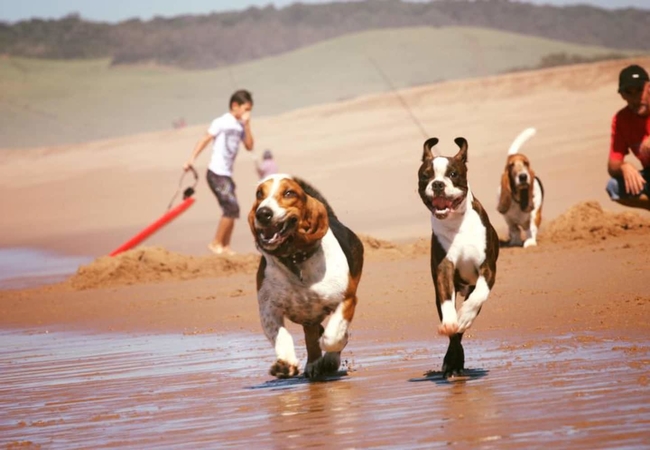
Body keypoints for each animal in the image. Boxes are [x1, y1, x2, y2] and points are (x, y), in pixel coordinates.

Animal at [247, 174, 362, 378]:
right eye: (259, 194)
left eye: (289, 193)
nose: (263, 213)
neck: (295, 259)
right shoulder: (268, 310)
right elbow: (282, 336)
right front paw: (285, 363)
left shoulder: (347, 299)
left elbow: (333, 337)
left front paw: (331, 348)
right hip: (307, 317)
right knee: (311, 334)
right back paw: (314, 363)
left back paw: (328, 360)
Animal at [418, 137, 498, 380]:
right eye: (426, 175)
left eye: (453, 174)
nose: (437, 184)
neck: (456, 224)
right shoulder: (444, 269)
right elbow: (447, 308)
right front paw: (452, 322)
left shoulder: (487, 269)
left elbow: (479, 295)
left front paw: (464, 316)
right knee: (454, 333)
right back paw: (452, 361)